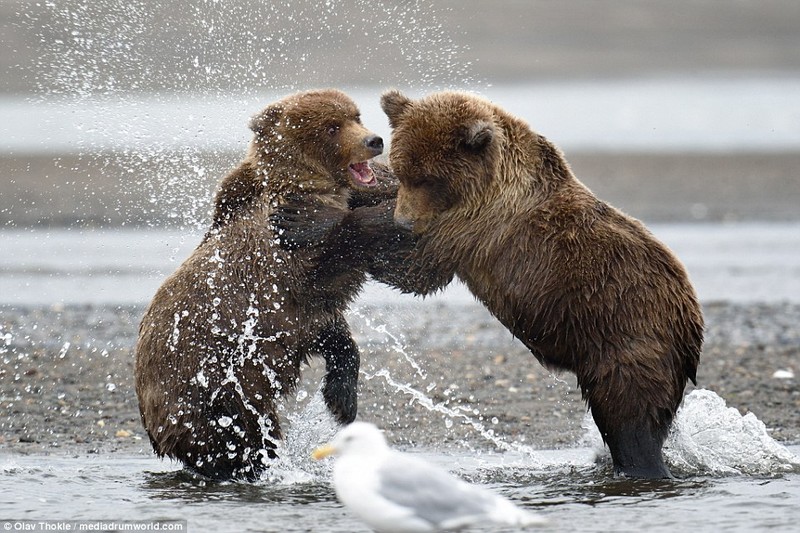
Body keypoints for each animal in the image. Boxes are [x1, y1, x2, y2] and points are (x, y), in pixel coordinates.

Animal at [134, 89, 412, 480]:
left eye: (355, 115)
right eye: (332, 127)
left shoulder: (300, 313)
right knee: (238, 434)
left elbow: (335, 335)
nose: (374, 140)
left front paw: (342, 400)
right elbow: (329, 256)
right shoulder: (279, 266)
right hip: (209, 389)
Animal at [378, 90, 704, 478]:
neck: (493, 181)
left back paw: (641, 465)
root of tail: (690, 322)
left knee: (630, 417)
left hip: (627, 336)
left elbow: (417, 271)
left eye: (429, 179)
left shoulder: (470, 228)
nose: (404, 223)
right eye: (403, 170)